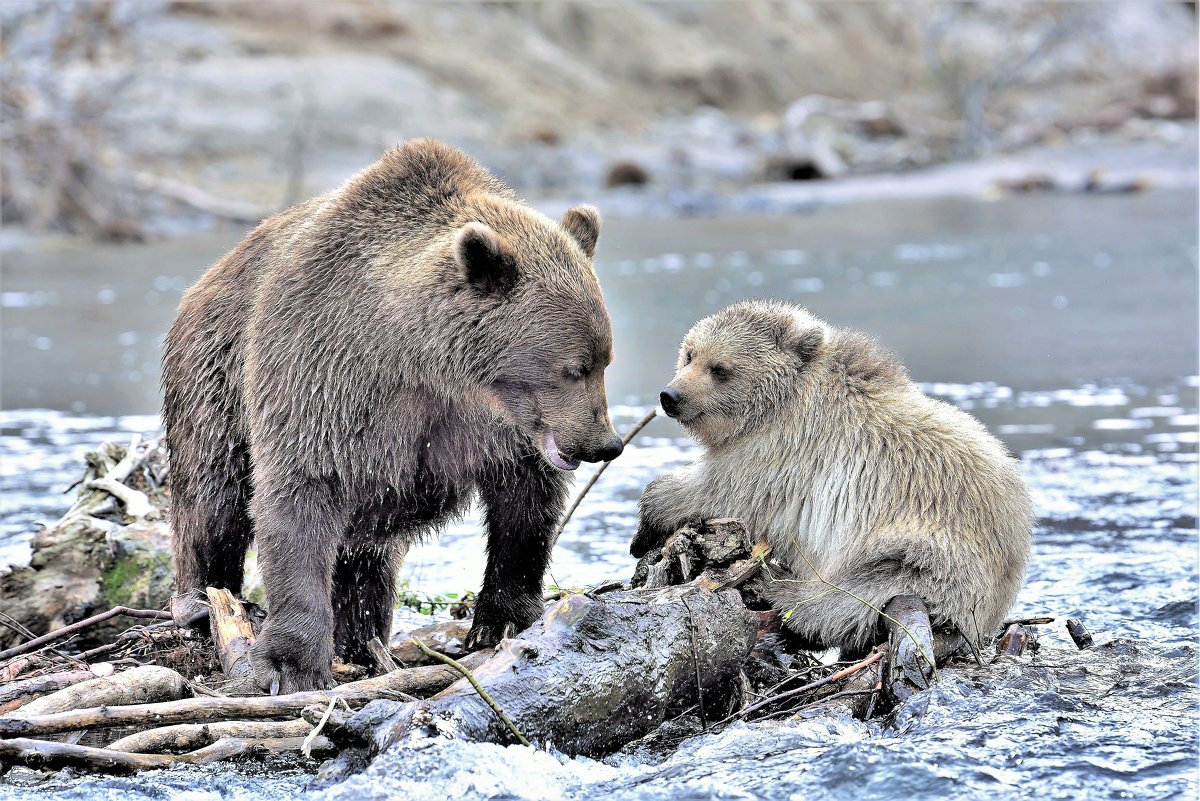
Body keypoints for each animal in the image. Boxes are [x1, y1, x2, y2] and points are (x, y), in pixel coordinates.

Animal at [163, 140, 624, 690]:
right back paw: (203, 602)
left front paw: (503, 619)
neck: (426, 363)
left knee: (365, 558)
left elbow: (524, 507)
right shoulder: (327, 376)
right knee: (214, 495)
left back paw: (363, 639)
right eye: (574, 368)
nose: (604, 443)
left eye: (604, 360)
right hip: (214, 378)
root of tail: (203, 281)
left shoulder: (488, 430)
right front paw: (293, 663)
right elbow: (299, 494)